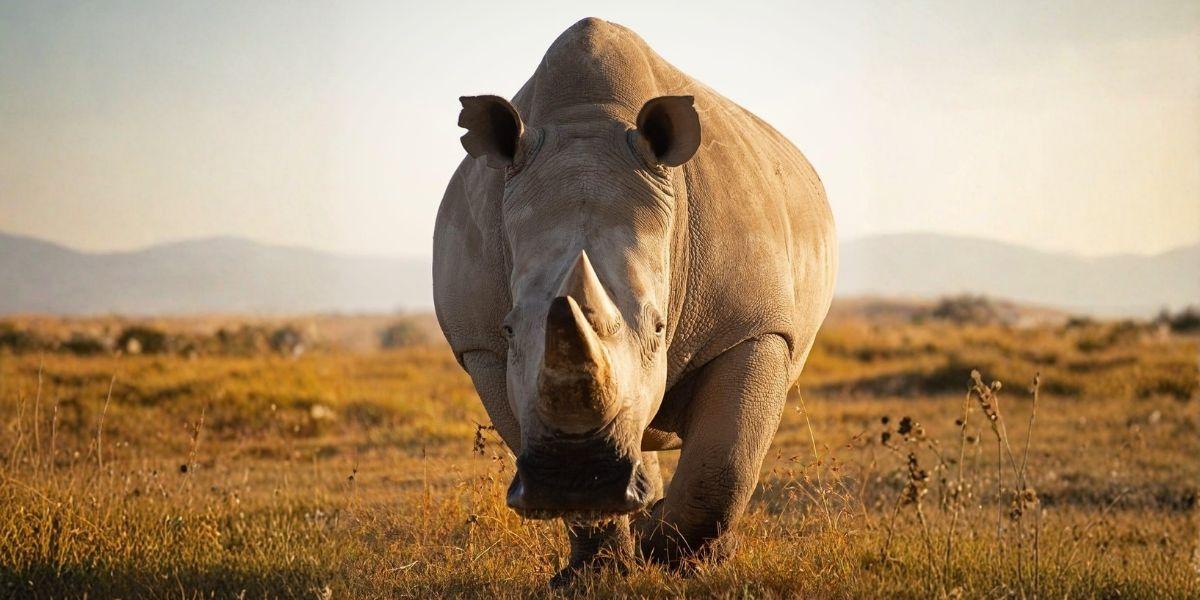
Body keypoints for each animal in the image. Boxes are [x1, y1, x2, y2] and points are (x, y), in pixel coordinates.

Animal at [433, 17, 836, 584]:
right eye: (509, 327)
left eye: (660, 327)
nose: (574, 475)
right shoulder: (480, 345)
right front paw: (596, 573)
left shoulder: (755, 326)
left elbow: (727, 461)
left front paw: (674, 558)